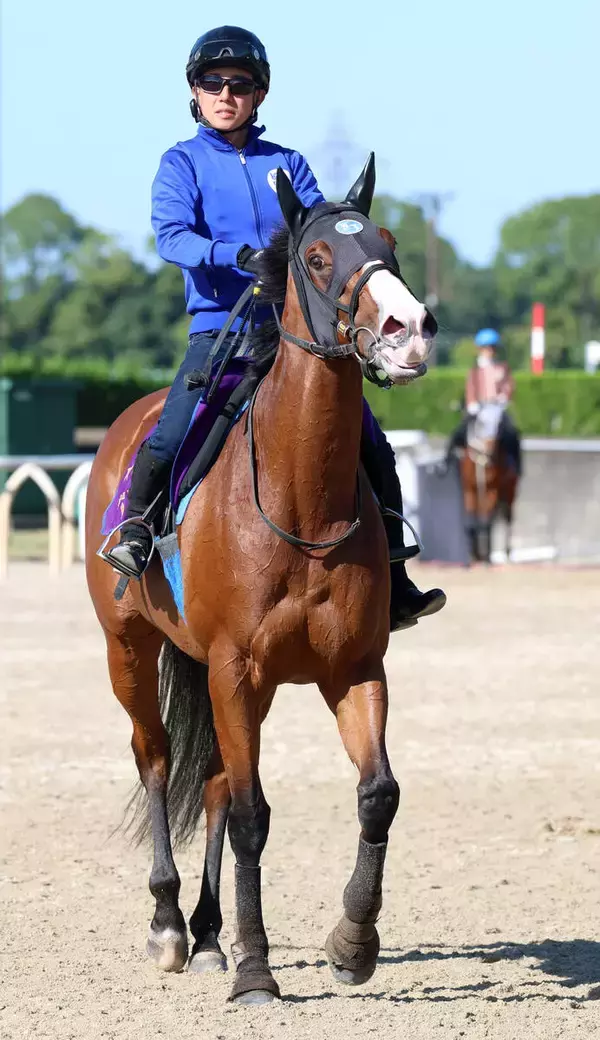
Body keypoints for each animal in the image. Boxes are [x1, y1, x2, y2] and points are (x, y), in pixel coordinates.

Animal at [85, 156, 436, 1005]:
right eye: (317, 256)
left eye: (389, 242)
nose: (408, 329)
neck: (295, 496)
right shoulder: (233, 669)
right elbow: (251, 817)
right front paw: (255, 972)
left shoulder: (350, 668)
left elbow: (377, 794)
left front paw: (352, 942)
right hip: (131, 650)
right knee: (156, 760)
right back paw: (171, 925)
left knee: (212, 780)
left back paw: (210, 933)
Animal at [459, 402, 519, 563]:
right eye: (481, 422)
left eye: (500, 425)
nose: (490, 449)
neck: (482, 460)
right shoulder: (469, 489)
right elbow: (470, 522)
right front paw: (473, 555)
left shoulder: (492, 491)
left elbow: (486, 522)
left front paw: (485, 557)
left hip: (509, 492)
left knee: (506, 518)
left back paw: (504, 553)